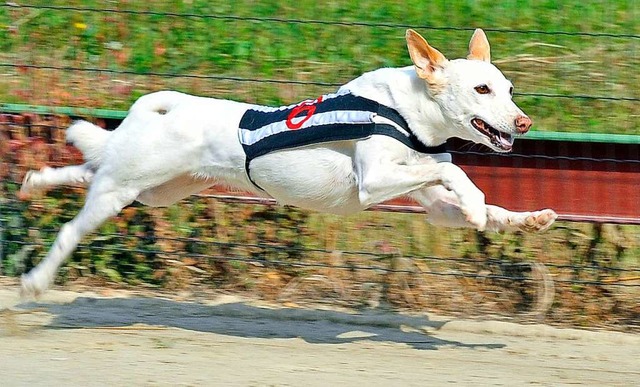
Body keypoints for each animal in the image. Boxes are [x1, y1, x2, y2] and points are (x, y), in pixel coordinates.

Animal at [18, 30, 556, 298]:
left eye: (509, 89)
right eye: (482, 90)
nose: (524, 122)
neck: (408, 113)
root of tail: (159, 107)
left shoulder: (430, 204)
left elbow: (477, 203)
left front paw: (525, 218)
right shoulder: (374, 180)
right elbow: (457, 172)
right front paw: (477, 205)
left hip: (159, 188)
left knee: (89, 168)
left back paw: (35, 180)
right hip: (124, 190)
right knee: (70, 227)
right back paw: (35, 281)